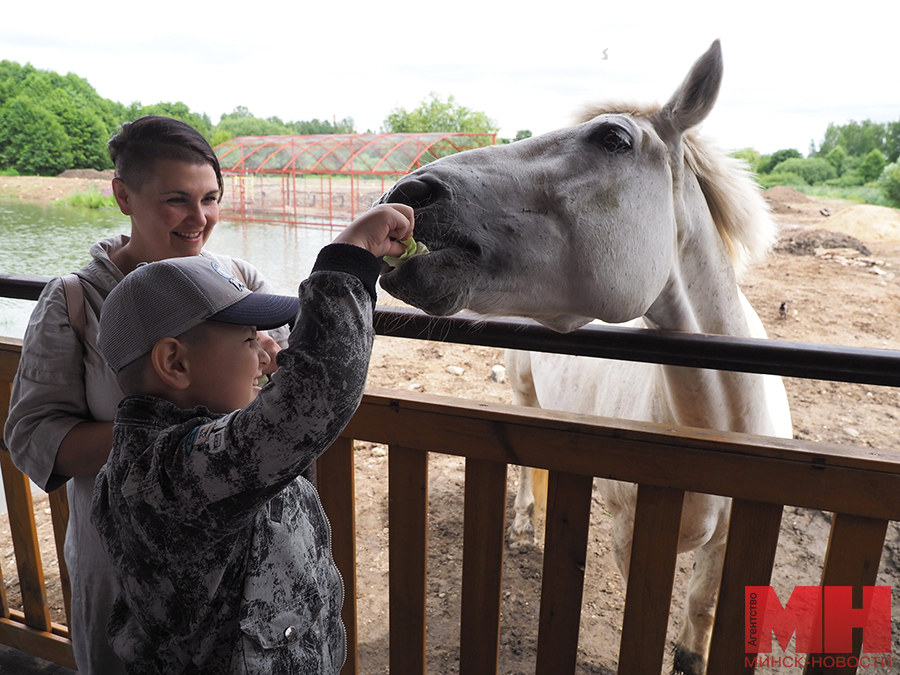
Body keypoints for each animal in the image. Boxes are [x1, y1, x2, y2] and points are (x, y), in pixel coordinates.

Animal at [376, 39, 792, 672]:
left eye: (613, 138)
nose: (409, 192)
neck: (719, 424)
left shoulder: (725, 547)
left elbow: (696, 618)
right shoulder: (631, 538)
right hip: (523, 390)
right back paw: (524, 524)